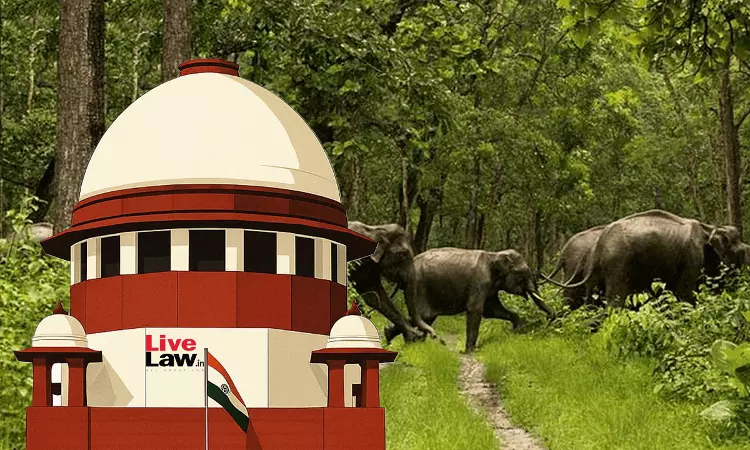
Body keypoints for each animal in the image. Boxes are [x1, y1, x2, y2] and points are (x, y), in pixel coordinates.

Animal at [384, 248, 554, 352]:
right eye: (522, 274)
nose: (550, 317)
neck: (494, 255)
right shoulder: (479, 282)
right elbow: (476, 310)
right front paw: (470, 351)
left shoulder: (490, 288)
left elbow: (492, 310)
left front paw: (518, 328)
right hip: (419, 288)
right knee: (423, 315)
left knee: (424, 317)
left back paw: (395, 338)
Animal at [547, 209, 750, 307]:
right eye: (744, 252)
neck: (710, 227)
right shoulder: (692, 259)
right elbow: (684, 294)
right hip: (617, 265)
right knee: (613, 301)